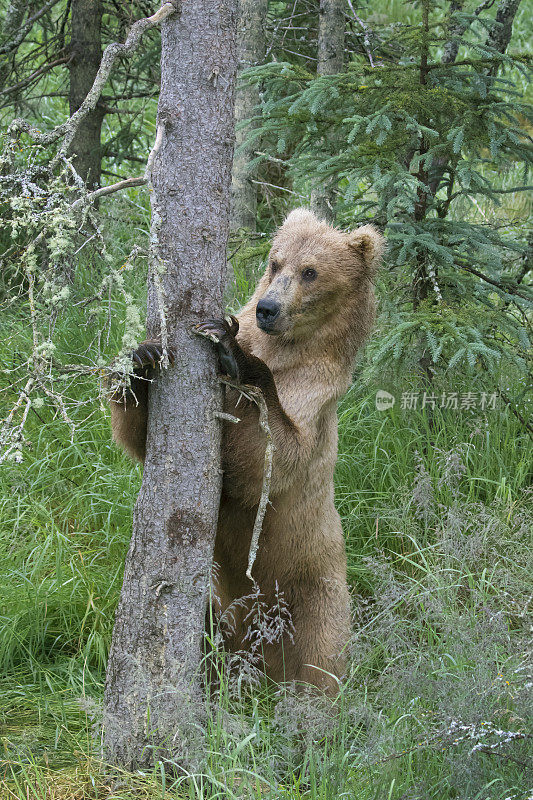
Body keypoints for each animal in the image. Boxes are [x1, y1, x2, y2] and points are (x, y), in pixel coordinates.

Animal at [110, 208, 380, 692]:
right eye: (275, 262)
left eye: (310, 271)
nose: (267, 308)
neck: (284, 349)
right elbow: (139, 439)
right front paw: (139, 363)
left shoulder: (314, 399)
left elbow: (271, 459)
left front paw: (229, 347)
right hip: (219, 608)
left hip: (317, 597)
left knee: (320, 665)